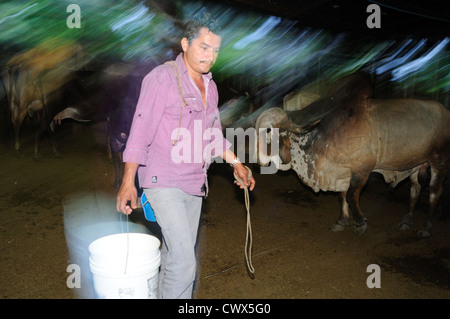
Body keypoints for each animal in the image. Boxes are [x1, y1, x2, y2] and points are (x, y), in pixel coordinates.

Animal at [256, 72, 450, 238]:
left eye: (269, 132)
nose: (259, 162)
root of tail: (445, 112)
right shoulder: (343, 170)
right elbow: (342, 195)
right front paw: (341, 221)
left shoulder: (362, 168)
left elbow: (350, 196)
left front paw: (360, 223)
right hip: (417, 164)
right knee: (415, 190)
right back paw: (406, 221)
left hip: (439, 161)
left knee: (435, 193)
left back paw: (426, 228)